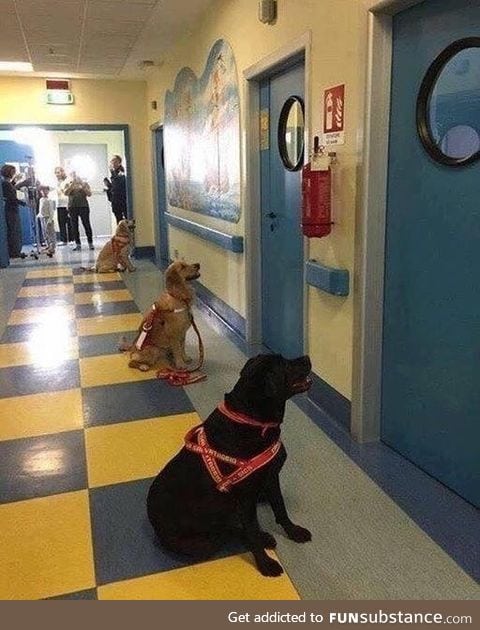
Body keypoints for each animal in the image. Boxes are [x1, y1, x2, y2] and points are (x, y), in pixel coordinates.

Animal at [147, 356, 312, 576]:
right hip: (202, 541)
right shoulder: (245, 498)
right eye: (285, 365)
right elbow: (252, 533)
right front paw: (265, 564)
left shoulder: (271, 478)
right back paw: (262, 537)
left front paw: (294, 532)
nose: (307, 358)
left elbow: (280, 508)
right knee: (228, 531)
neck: (253, 420)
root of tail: (154, 526)